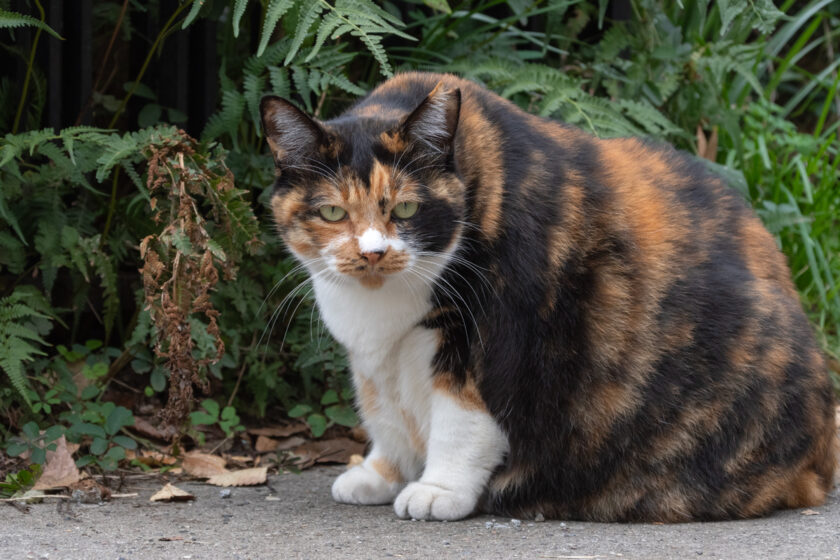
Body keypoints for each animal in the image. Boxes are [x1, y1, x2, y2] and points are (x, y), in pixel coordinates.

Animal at [260, 72, 836, 524]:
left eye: (404, 209)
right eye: (332, 212)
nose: (374, 252)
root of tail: (819, 463)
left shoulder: (492, 336)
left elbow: (461, 419)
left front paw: (438, 488)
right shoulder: (376, 362)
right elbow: (383, 408)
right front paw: (379, 473)